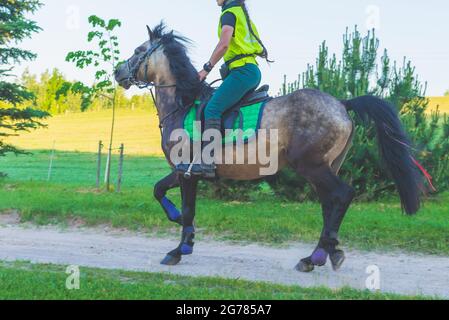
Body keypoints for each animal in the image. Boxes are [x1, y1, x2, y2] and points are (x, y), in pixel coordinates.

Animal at [114, 22, 424, 272]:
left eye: (139, 49)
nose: (118, 72)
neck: (183, 103)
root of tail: (341, 103)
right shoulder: (181, 171)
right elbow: (159, 190)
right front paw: (178, 224)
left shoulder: (187, 171)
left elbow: (186, 208)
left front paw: (179, 248)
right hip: (326, 167)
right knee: (330, 204)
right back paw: (322, 253)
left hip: (311, 166)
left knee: (342, 195)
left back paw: (319, 255)